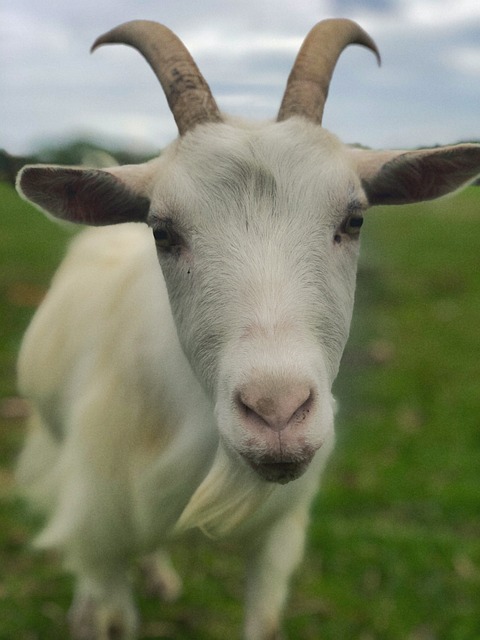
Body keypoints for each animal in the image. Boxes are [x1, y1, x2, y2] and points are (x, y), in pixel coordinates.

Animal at [15, 17, 480, 636]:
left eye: (354, 219)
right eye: (162, 230)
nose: (277, 413)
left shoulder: (276, 537)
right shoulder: (101, 521)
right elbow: (109, 595)